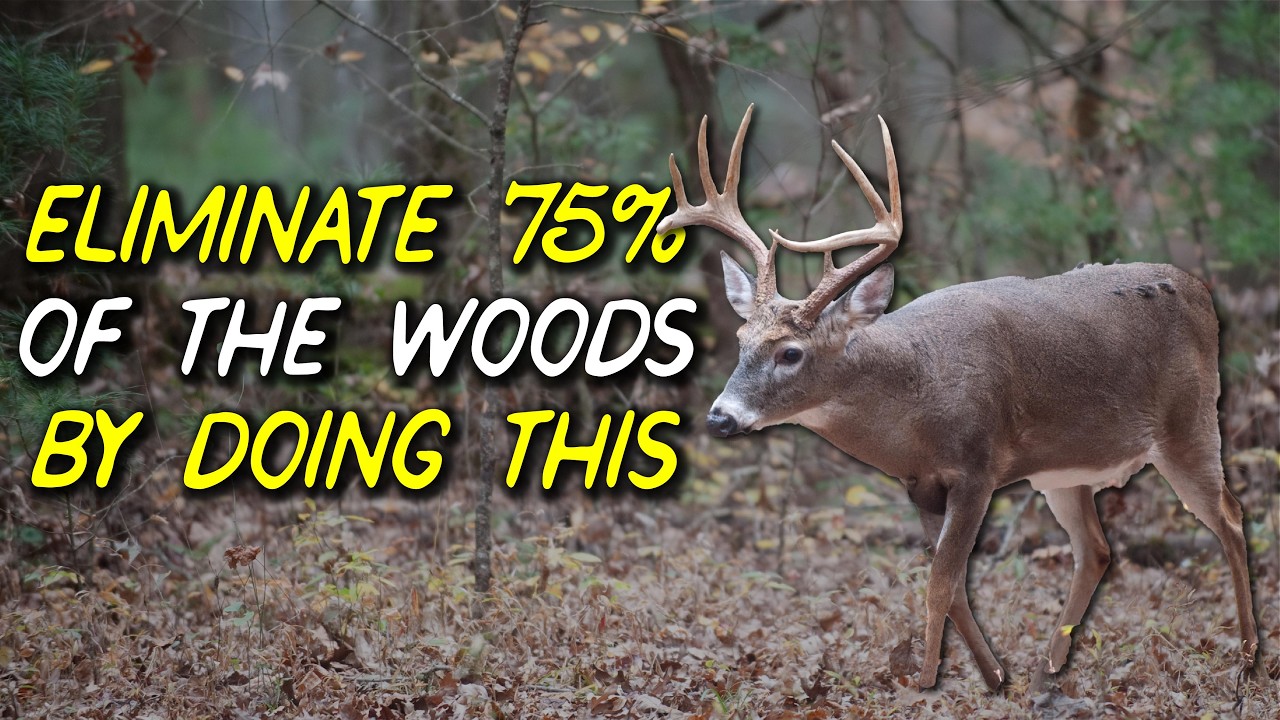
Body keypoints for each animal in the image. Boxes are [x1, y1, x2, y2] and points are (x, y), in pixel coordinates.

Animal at [656, 105, 1258, 691]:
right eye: (741, 340)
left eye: (790, 353)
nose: (720, 417)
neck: (915, 402)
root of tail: (1203, 292)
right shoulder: (920, 485)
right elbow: (952, 587)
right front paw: (993, 677)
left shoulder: (977, 468)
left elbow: (941, 582)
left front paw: (925, 683)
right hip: (1064, 473)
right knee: (1097, 549)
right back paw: (1046, 671)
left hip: (1191, 422)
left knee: (1231, 516)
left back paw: (1249, 659)